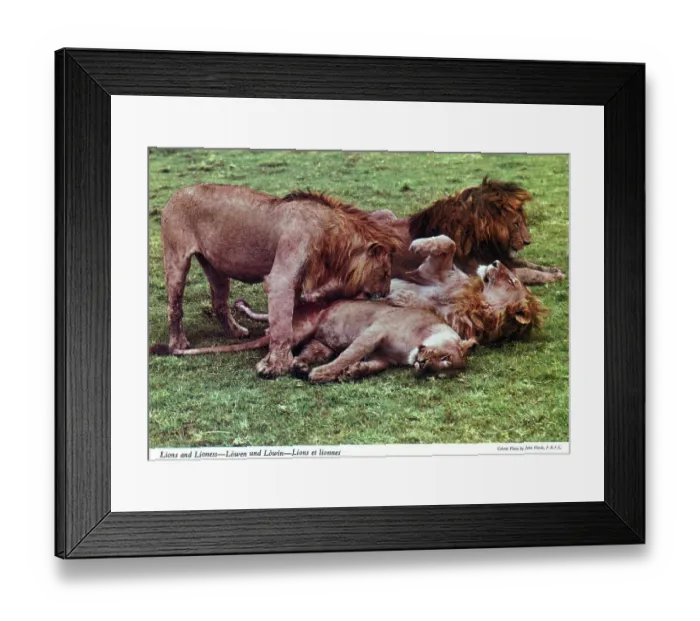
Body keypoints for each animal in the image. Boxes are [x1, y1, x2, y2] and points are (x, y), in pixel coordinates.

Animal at [158, 185, 398, 378]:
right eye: (386, 272)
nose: (386, 293)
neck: (332, 240)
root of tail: (176, 193)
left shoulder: (297, 282)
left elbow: (289, 318)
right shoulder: (281, 277)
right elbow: (281, 325)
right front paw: (276, 367)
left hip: (216, 267)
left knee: (219, 303)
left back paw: (236, 332)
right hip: (176, 257)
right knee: (174, 305)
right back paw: (178, 343)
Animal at [169, 300, 478, 383]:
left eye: (442, 370)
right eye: (444, 357)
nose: (424, 366)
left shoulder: (384, 357)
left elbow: (371, 365)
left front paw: (353, 372)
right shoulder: (374, 331)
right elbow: (349, 354)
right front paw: (323, 375)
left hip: (320, 343)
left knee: (300, 354)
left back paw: (301, 367)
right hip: (299, 329)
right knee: (269, 342)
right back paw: (268, 366)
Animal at [371, 177, 565, 286]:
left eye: (524, 222)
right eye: (516, 224)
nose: (527, 242)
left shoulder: (499, 256)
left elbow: (529, 264)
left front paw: (553, 269)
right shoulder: (477, 268)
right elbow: (527, 272)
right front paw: (556, 276)